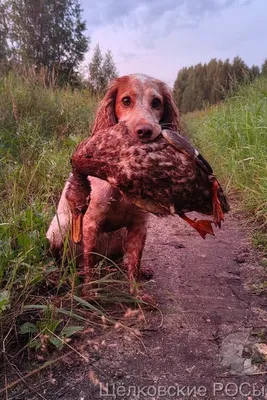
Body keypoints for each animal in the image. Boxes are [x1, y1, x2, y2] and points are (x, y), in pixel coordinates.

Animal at [46, 74, 180, 294]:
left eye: (156, 102)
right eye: (126, 100)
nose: (145, 131)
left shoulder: (139, 225)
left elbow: (134, 263)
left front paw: (137, 294)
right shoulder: (90, 223)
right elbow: (89, 263)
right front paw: (89, 293)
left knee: (118, 262)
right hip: (60, 228)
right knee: (69, 262)